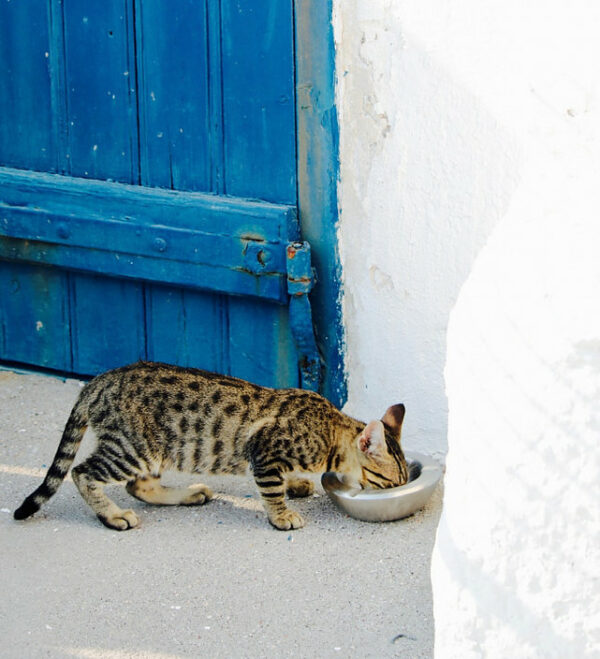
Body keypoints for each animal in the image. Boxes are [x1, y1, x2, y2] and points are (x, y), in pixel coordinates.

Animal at [12, 360, 408, 532]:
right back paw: (112, 515)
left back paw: (188, 494)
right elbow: (270, 489)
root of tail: (98, 382)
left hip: (154, 450)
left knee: (139, 486)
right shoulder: (263, 451)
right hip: (132, 448)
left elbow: (285, 479)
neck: (329, 429)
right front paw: (282, 515)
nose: (397, 491)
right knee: (83, 473)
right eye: (390, 483)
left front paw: (296, 483)